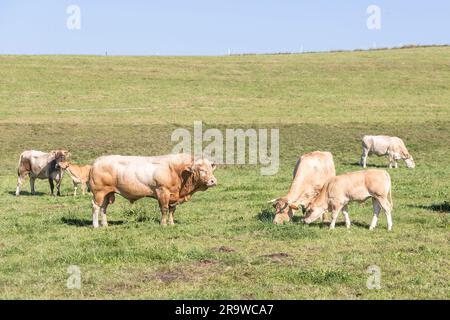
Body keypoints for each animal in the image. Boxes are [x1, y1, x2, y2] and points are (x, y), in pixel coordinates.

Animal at [89, 152, 217, 228]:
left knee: (103, 208)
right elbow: (164, 209)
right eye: (201, 169)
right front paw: (163, 224)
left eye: (211, 169)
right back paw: (96, 225)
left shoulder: (173, 196)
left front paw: (171, 223)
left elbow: (172, 210)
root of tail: (97, 161)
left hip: (107, 193)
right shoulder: (162, 191)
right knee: (96, 206)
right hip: (99, 192)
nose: (213, 181)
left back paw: (105, 224)